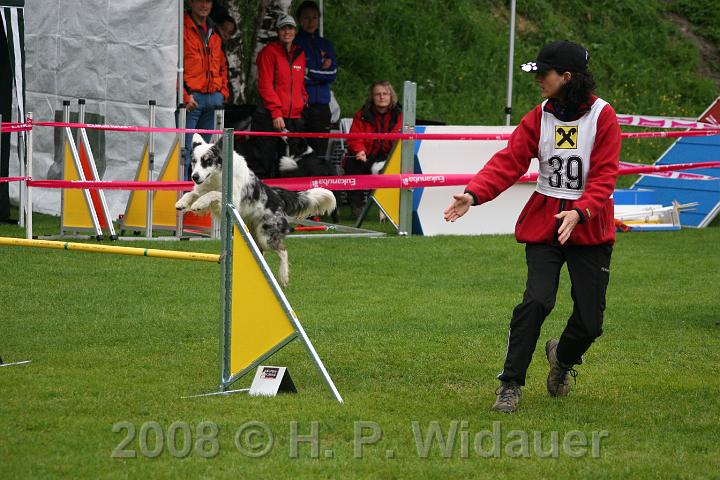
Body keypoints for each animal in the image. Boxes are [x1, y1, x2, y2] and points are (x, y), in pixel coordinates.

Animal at [175, 134, 336, 287]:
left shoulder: (232, 200)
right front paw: (182, 203)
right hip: (253, 235)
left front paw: (199, 203)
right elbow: (193, 193)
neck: (217, 176)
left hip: (266, 236)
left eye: (207, 161)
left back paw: (283, 277)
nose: (194, 177)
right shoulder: (204, 190)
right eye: (194, 161)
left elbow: (212, 194)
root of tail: (277, 195)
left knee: (283, 250)